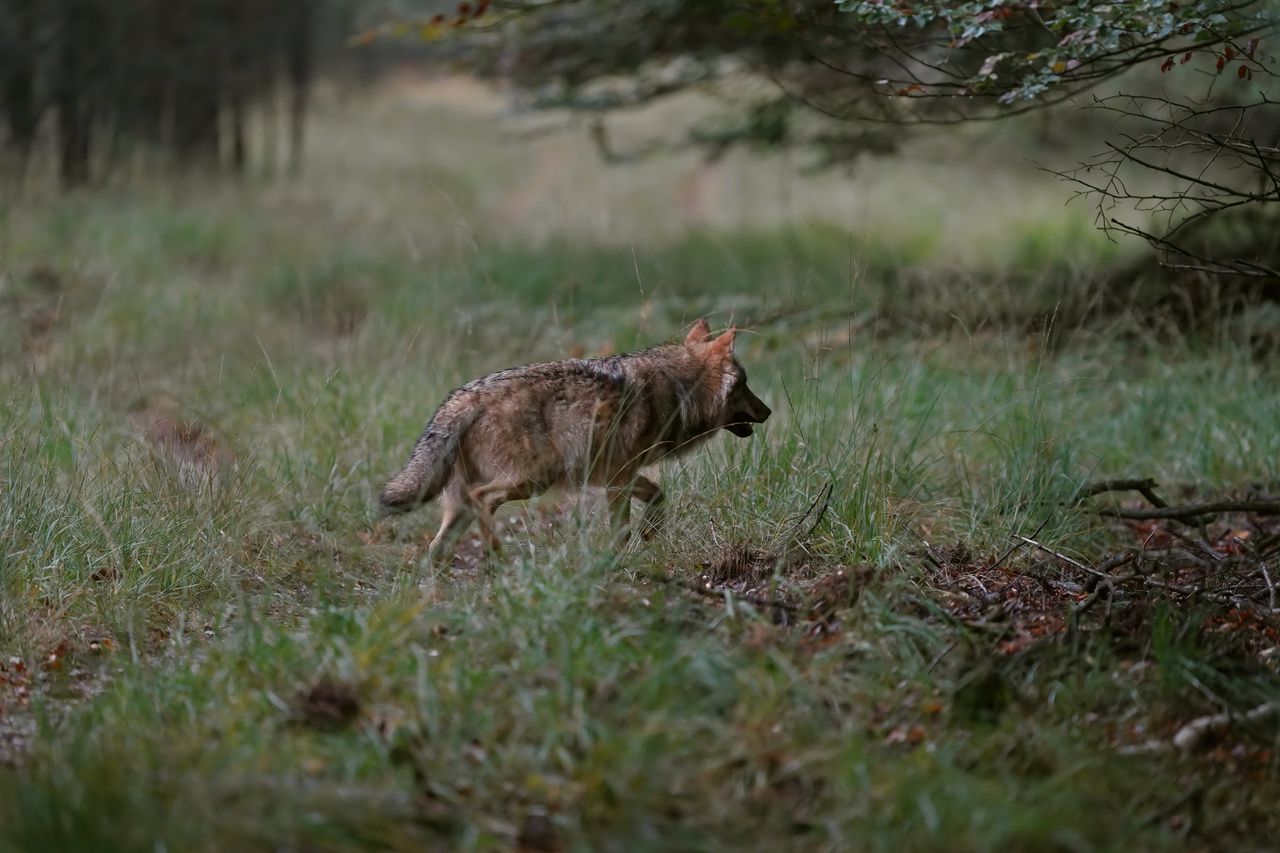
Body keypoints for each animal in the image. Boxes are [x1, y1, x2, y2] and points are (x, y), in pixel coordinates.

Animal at [378, 318, 768, 563]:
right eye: (746, 383)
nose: (769, 411)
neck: (678, 390)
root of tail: (464, 397)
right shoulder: (618, 480)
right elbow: (622, 531)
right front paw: (617, 561)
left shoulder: (617, 476)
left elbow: (658, 497)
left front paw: (649, 534)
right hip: (533, 481)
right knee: (482, 501)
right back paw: (498, 559)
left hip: (467, 501)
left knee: (436, 549)